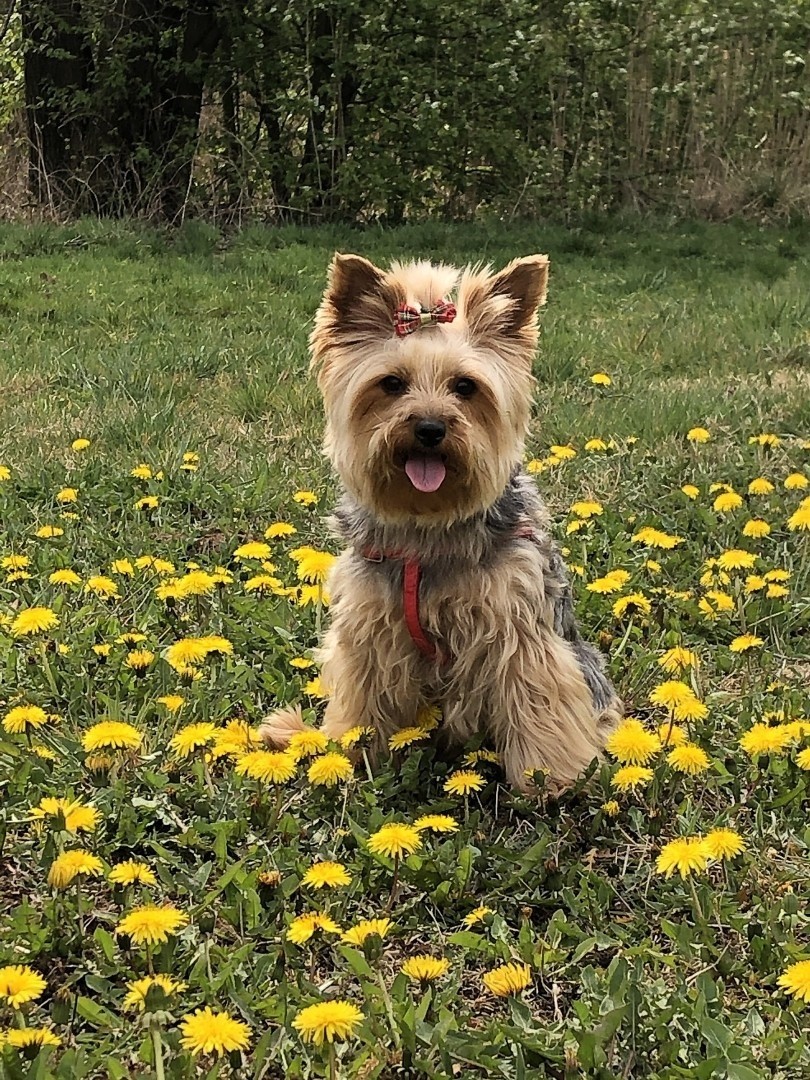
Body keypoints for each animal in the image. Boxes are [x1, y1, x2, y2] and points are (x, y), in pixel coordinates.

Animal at [260, 252, 622, 794]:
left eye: (465, 387)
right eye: (391, 383)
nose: (430, 427)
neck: (427, 527)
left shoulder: (517, 629)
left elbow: (537, 700)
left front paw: (550, 778)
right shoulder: (371, 625)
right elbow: (363, 696)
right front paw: (350, 757)